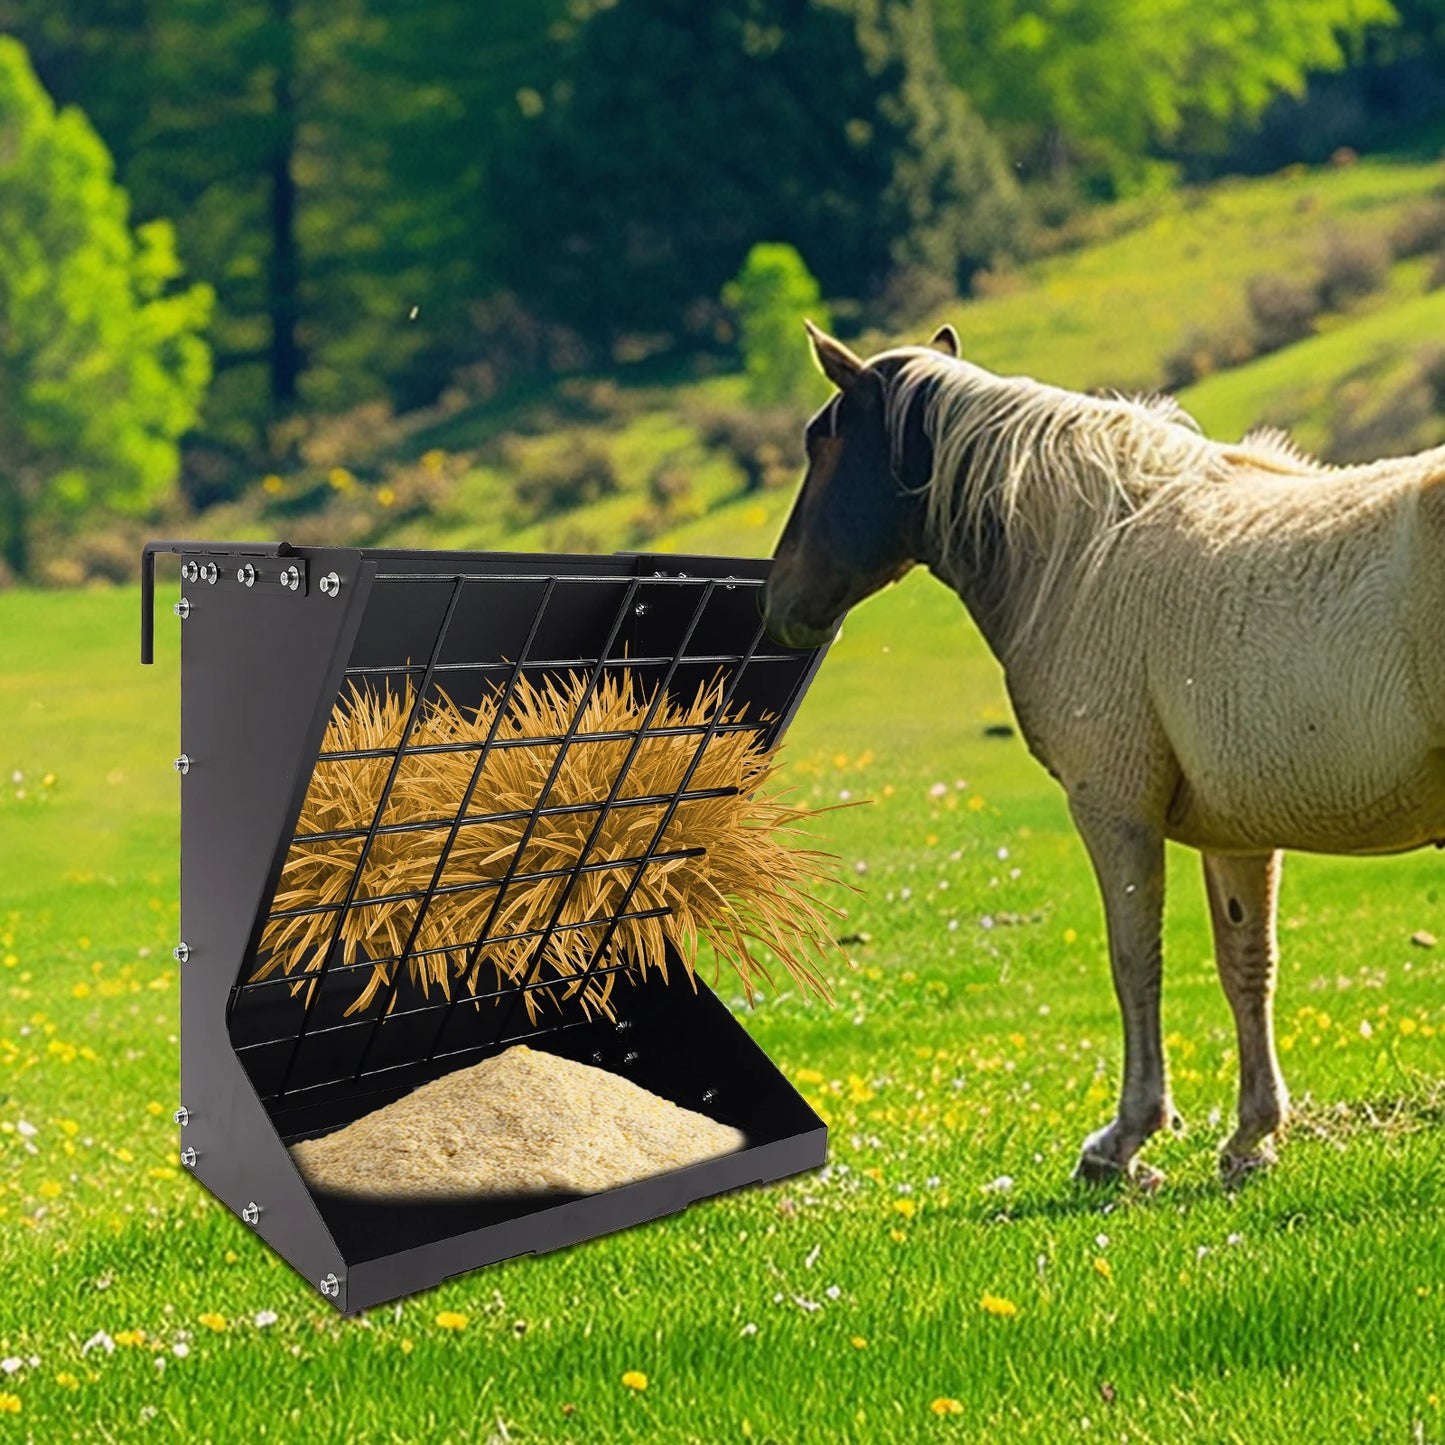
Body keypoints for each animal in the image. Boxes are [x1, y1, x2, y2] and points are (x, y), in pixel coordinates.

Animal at [761, 321, 1445, 1186]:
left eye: (822, 445)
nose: (778, 606)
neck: (1090, 552)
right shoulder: (1238, 835)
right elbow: (1245, 967)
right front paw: (1250, 1136)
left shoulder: (1112, 809)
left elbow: (1134, 962)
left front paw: (1125, 1138)